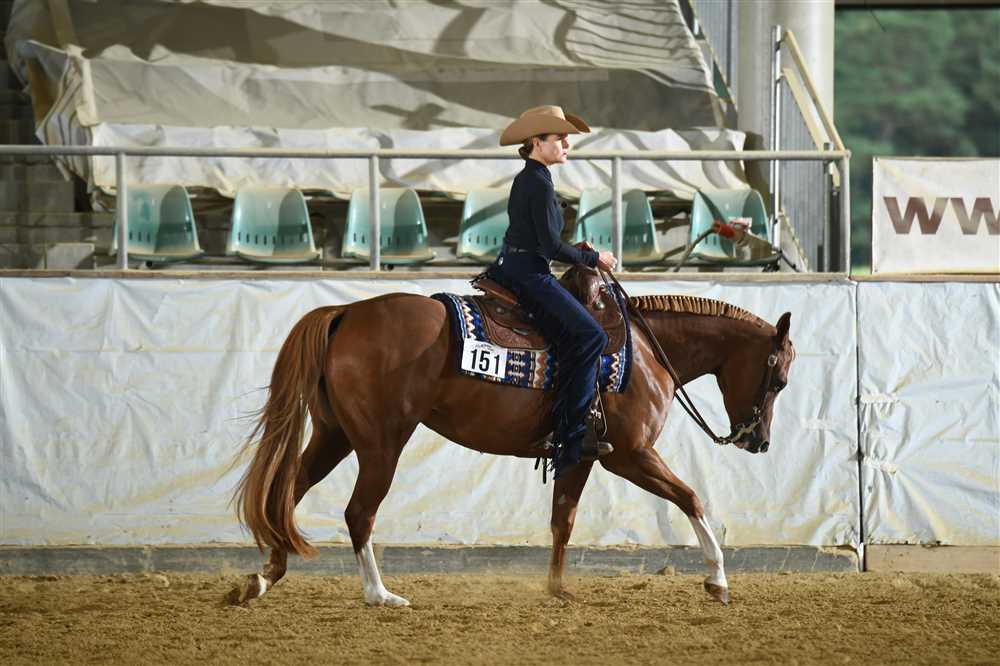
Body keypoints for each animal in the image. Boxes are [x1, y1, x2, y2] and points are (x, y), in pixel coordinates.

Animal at [230, 266, 795, 607]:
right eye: (779, 379)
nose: (760, 441)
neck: (643, 351)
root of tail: (347, 312)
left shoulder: (582, 454)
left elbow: (563, 520)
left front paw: (558, 588)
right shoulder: (631, 455)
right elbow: (691, 497)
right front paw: (718, 580)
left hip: (334, 435)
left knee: (288, 492)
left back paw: (262, 577)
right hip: (380, 444)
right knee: (358, 513)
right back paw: (379, 594)